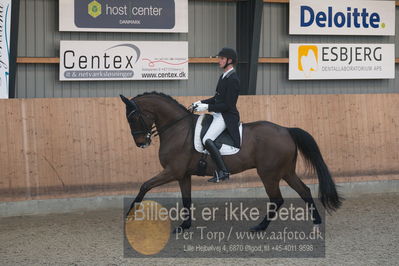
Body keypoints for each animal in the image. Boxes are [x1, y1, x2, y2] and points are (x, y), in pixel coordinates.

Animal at [120, 92, 342, 232]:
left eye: (133, 118)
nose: (141, 143)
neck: (177, 128)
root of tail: (286, 130)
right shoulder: (182, 174)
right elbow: (186, 199)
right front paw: (184, 226)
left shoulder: (172, 171)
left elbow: (144, 186)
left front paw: (129, 214)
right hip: (286, 171)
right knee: (304, 191)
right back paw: (316, 224)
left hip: (269, 174)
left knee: (277, 199)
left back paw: (259, 227)